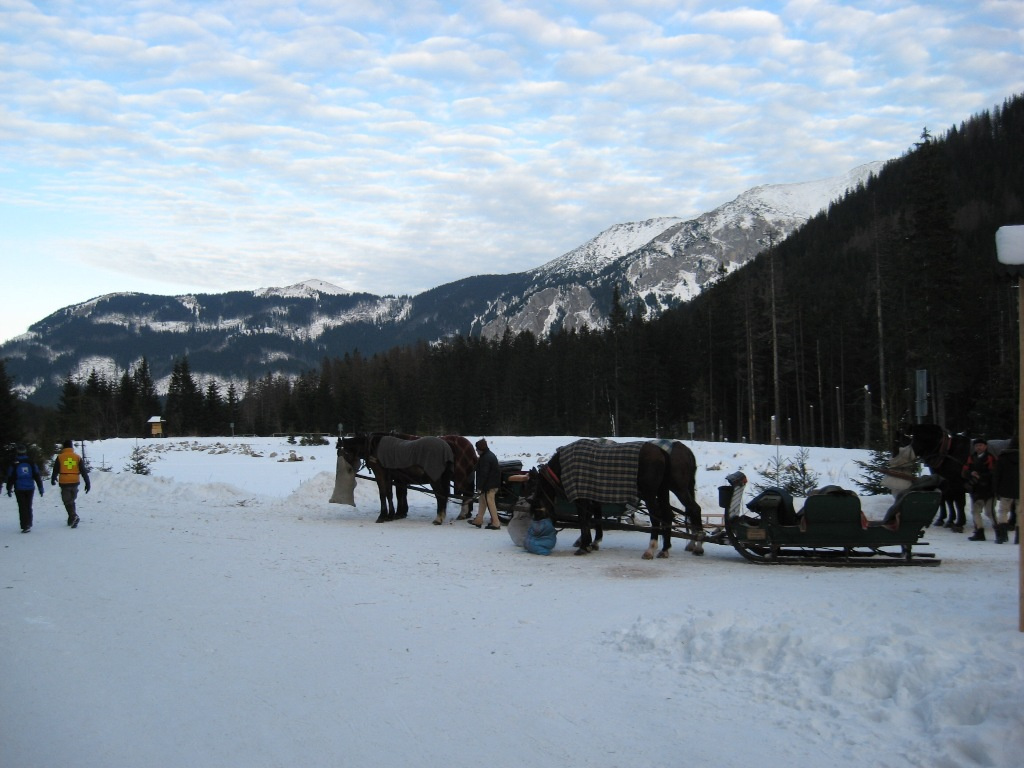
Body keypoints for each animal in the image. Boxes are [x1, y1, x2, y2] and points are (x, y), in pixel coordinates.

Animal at [528, 438, 704, 561]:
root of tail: (663, 452)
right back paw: (666, 549)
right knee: (670, 514)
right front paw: (593, 542)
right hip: (664, 490)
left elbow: (584, 520)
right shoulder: (594, 497)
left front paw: (584, 545)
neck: (562, 468)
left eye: (535, 504)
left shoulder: (581, 498)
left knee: (672, 514)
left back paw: (655, 549)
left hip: (658, 491)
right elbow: (596, 519)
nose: (536, 524)